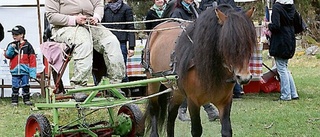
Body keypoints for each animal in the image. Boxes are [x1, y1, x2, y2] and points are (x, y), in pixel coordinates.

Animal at [144, 4, 256, 136]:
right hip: (153, 82)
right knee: (154, 109)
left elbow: (226, 130)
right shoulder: (193, 101)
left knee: (171, 113)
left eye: (249, 42)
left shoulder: (225, 101)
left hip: (177, 90)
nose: (244, 77)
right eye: (226, 42)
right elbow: (196, 130)